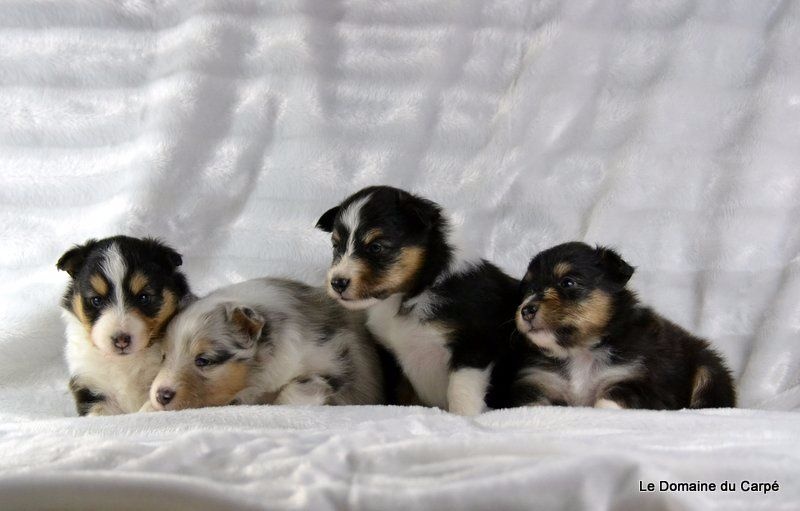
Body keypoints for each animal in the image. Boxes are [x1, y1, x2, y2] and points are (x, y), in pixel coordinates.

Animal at [314, 186, 520, 418]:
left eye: (376, 247)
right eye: (335, 246)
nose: (337, 283)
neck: (411, 295)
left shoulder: (473, 346)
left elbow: (461, 392)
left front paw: (462, 419)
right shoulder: (392, 357)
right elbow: (399, 393)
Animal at [512, 241, 736, 412]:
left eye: (567, 282)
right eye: (528, 289)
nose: (527, 310)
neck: (580, 352)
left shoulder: (642, 382)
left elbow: (609, 400)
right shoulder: (542, 384)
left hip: (708, 370)